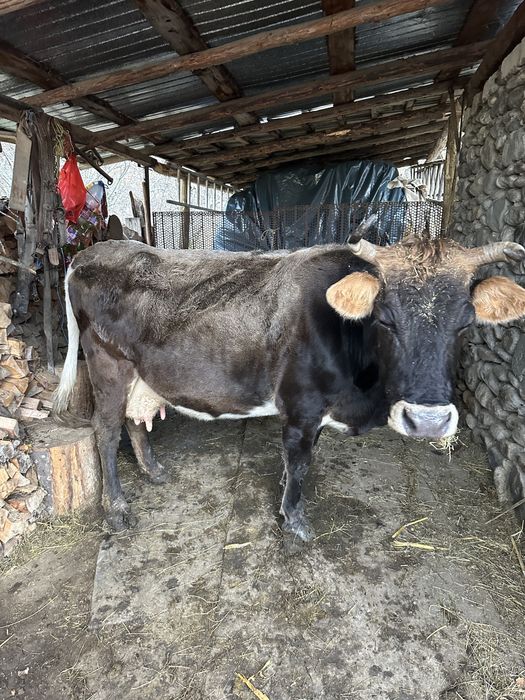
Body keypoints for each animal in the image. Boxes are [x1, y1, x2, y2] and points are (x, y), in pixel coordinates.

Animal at [53, 226, 525, 540]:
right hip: (107, 364)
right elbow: (299, 462)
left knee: (135, 420)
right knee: (105, 431)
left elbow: (294, 464)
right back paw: (116, 510)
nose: (427, 421)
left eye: (465, 323)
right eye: (385, 318)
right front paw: (294, 520)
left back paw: (153, 471)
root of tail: (92, 253)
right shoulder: (301, 406)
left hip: (142, 374)